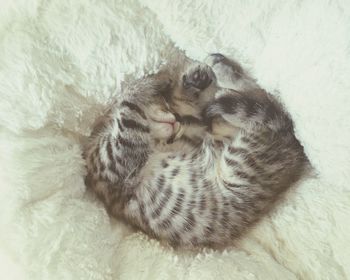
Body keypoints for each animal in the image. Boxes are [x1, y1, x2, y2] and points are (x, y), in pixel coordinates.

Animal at [83, 53, 308, 247]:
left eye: (165, 105)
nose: (174, 121)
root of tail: (295, 150)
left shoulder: (194, 131)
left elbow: (188, 109)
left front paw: (184, 81)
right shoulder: (114, 159)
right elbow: (128, 107)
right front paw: (146, 83)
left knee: (261, 101)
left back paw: (220, 68)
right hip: (241, 162)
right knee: (265, 108)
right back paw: (222, 71)